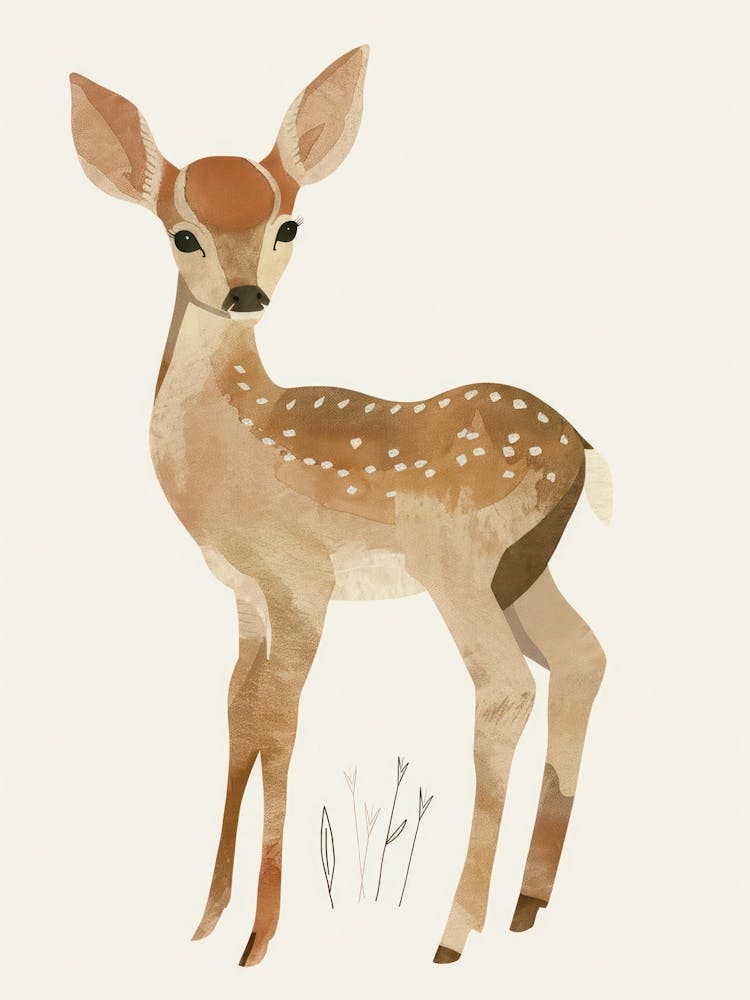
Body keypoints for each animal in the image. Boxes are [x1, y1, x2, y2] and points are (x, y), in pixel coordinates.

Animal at [69, 45, 612, 968]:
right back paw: (527, 904)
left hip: (457, 561)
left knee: (506, 687)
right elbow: (237, 713)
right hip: (522, 566)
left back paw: (453, 933)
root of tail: (581, 448)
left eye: (287, 225)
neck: (236, 435)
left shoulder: (300, 581)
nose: (245, 295)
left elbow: (280, 720)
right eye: (183, 232)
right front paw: (208, 919)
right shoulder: (244, 594)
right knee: (582, 657)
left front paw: (259, 938)